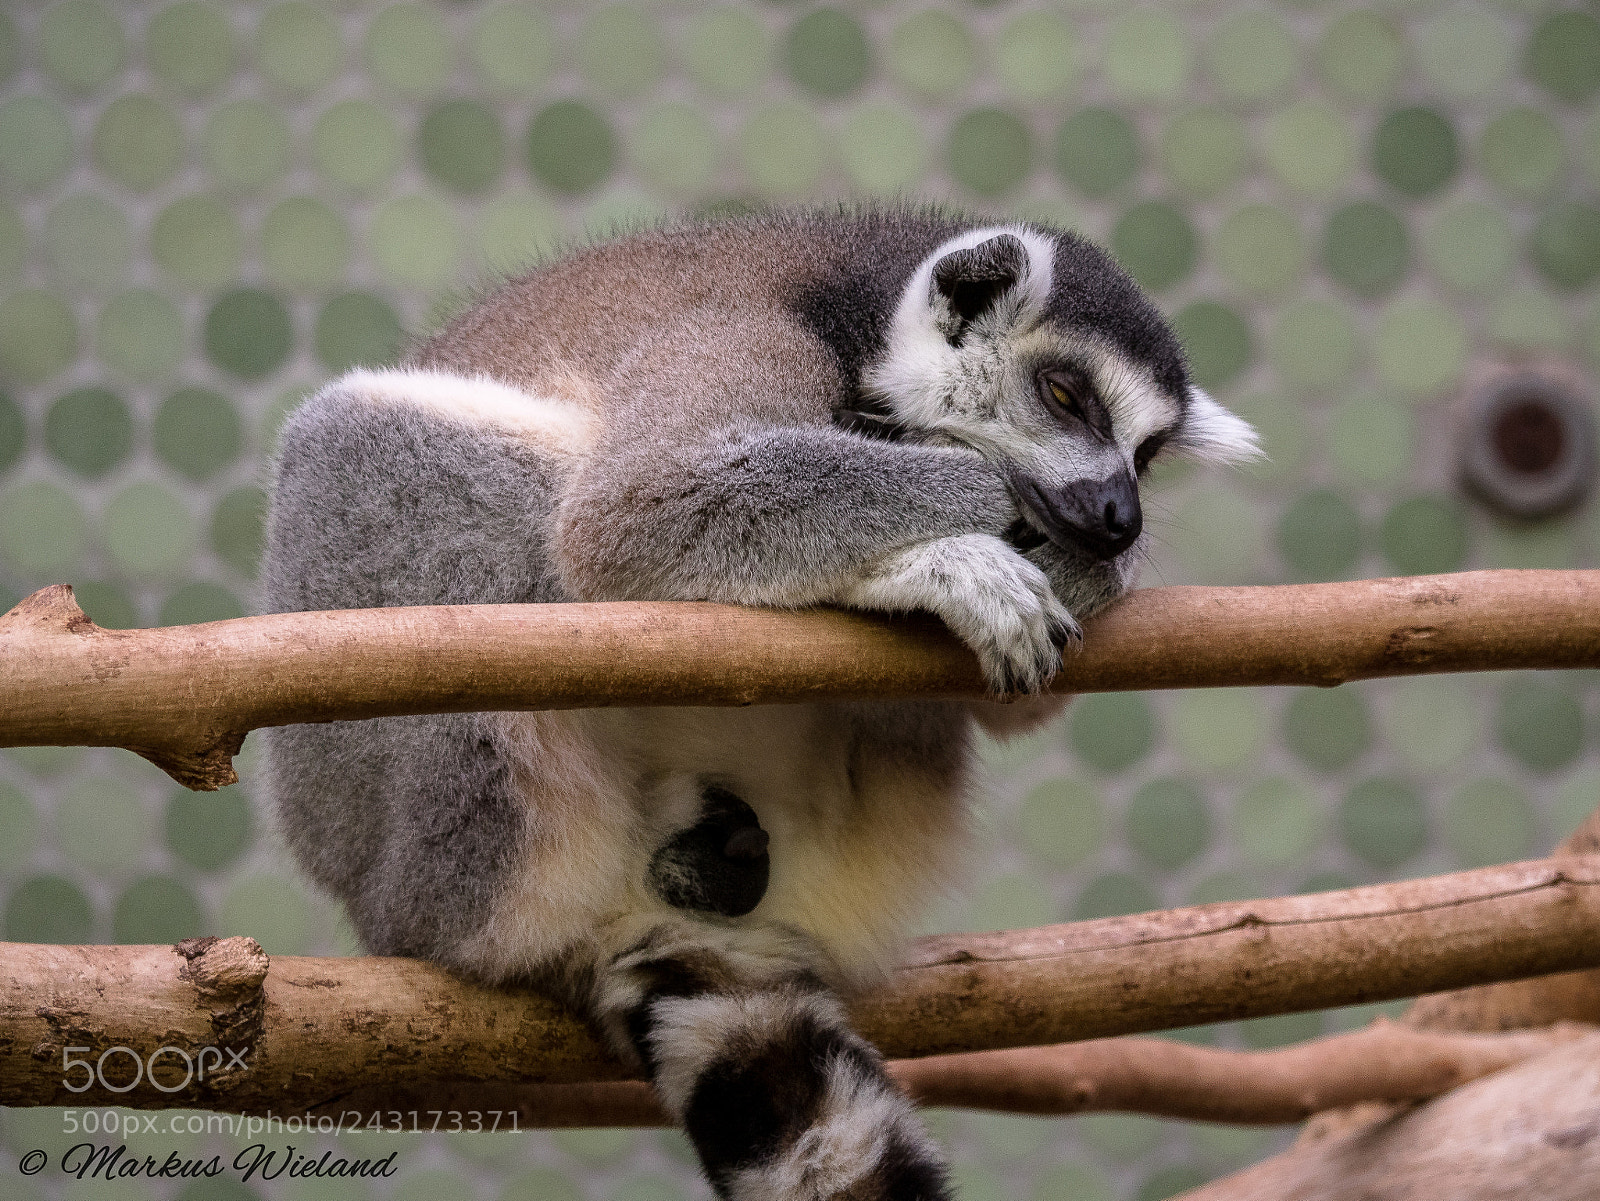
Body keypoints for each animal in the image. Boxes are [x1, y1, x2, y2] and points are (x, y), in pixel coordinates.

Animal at [260, 206, 1258, 1200]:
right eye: (1064, 395)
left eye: (1147, 454)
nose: (1121, 516)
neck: (853, 328)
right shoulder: (742, 336)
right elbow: (641, 509)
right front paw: (951, 541)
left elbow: (1015, 705)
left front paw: (1081, 571)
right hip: (402, 830)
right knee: (366, 444)